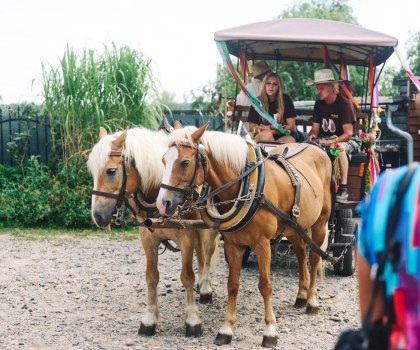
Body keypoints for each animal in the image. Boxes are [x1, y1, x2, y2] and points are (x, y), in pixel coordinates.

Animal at [88, 127, 220, 338]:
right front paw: (150, 319)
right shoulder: (148, 237)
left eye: (111, 171)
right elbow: (151, 277)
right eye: (92, 171)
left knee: (207, 252)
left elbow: (187, 277)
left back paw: (206, 287)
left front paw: (192, 319)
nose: (98, 216)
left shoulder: (187, 237)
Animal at [156, 123, 334, 348]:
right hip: (294, 226)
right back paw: (301, 296)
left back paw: (311, 301)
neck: (248, 187)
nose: (163, 203)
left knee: (315, 257)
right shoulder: (233, 244)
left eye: (185, 162)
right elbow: (232, 285)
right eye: (164, 160)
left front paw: (270, 331)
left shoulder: (262, 244)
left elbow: (265, 286)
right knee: (302, 254)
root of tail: (317, 148)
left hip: (320, 223)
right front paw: (226, 329)